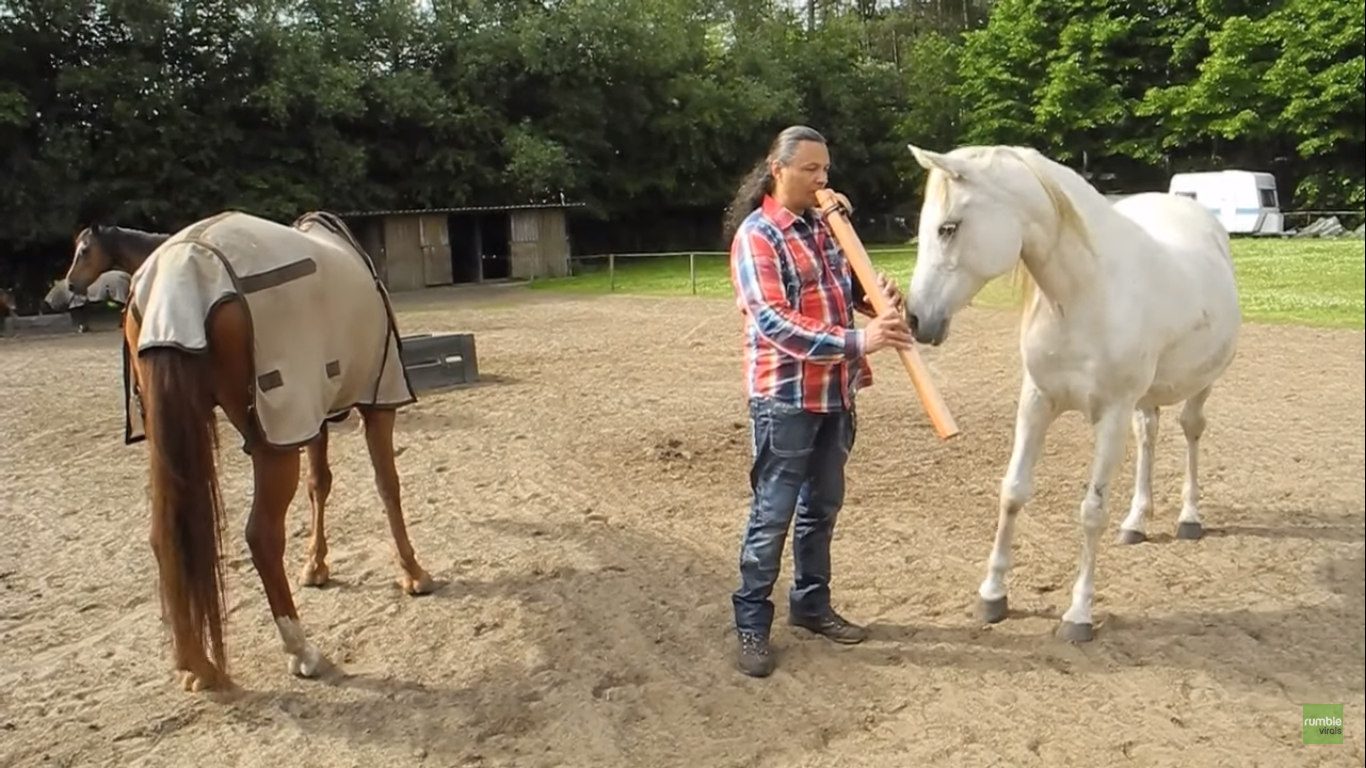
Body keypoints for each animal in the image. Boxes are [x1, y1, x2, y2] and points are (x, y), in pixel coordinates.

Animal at [67, 210, 434, 692]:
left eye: (84, 250)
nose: (71, 285)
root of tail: (182, 277)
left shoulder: (311, 419)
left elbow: (321, 485)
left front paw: (316, 566)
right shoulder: (375, 403)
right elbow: (387, 484)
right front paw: (413, 573)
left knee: (166, 537)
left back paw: (197, 664)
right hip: (272, 441)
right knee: (261, 536)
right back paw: (301, 650)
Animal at [902, 143, 1241, 643]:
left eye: (948, 227)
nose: (915, 319)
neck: (1086, 293)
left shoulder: (1112, 415)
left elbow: (1091, 511)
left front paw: (1078, 613)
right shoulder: (1037, 402)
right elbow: (1013, 492)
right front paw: (992, 595)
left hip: (1203, 383)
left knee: (1190, 430)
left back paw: (1189, 517)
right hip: (1146, 400)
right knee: (1150, 435)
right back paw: (1136, 522)